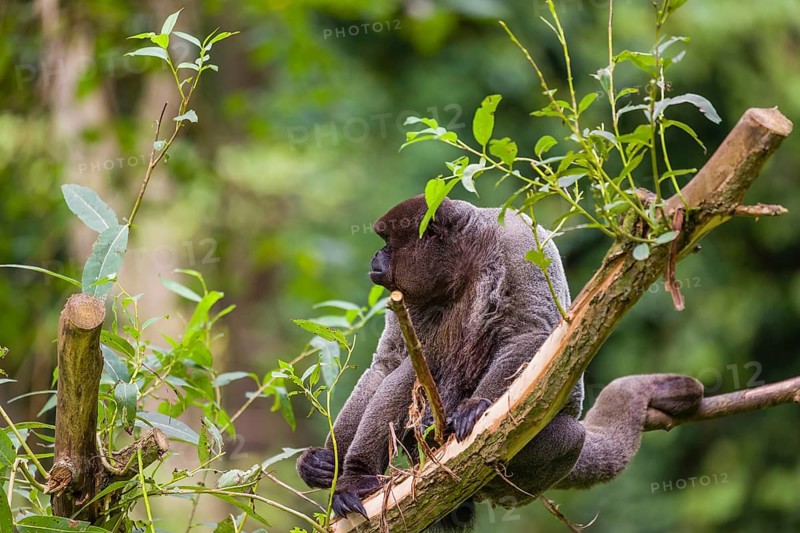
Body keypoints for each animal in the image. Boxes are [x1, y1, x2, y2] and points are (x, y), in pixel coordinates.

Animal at [296, 195, 704, 530]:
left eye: (386, 242)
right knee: (406, 370)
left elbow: (529, 331)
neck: (463, 263)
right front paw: (325, 462)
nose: (375, 258)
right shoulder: (404, 299)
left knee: (571, 437)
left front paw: (476, 407)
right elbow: (386, 362)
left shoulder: (519, 242)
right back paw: (356, 480)